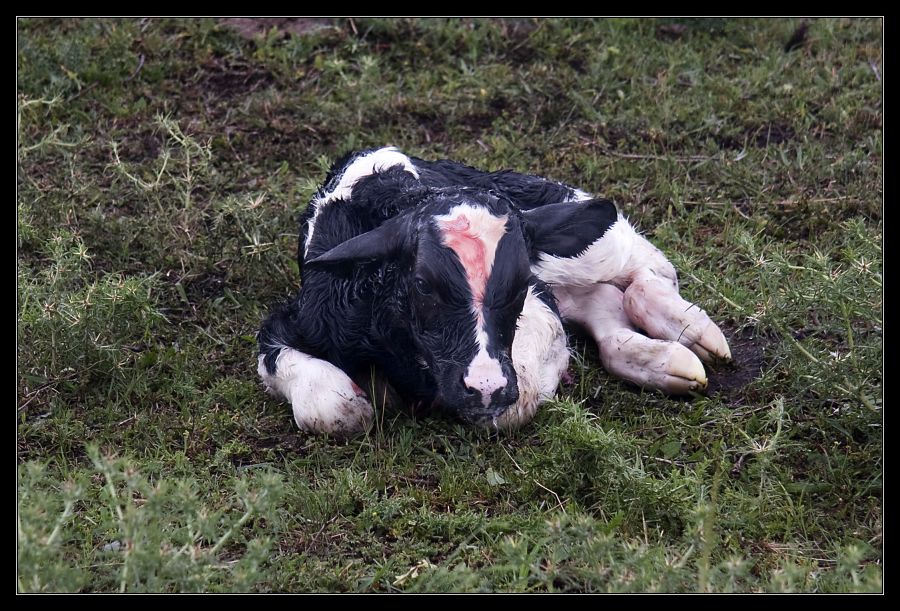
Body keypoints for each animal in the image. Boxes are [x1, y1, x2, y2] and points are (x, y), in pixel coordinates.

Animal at [255, 148, 732, 436]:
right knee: (604, 305)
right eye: (423, 284)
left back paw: (690, 331)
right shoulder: (309, 316)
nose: (485, 388)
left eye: (519, 281)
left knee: (645, 271)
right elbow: (335, 410)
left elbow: (520, 396)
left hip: (576, 232)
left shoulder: (538, 314)